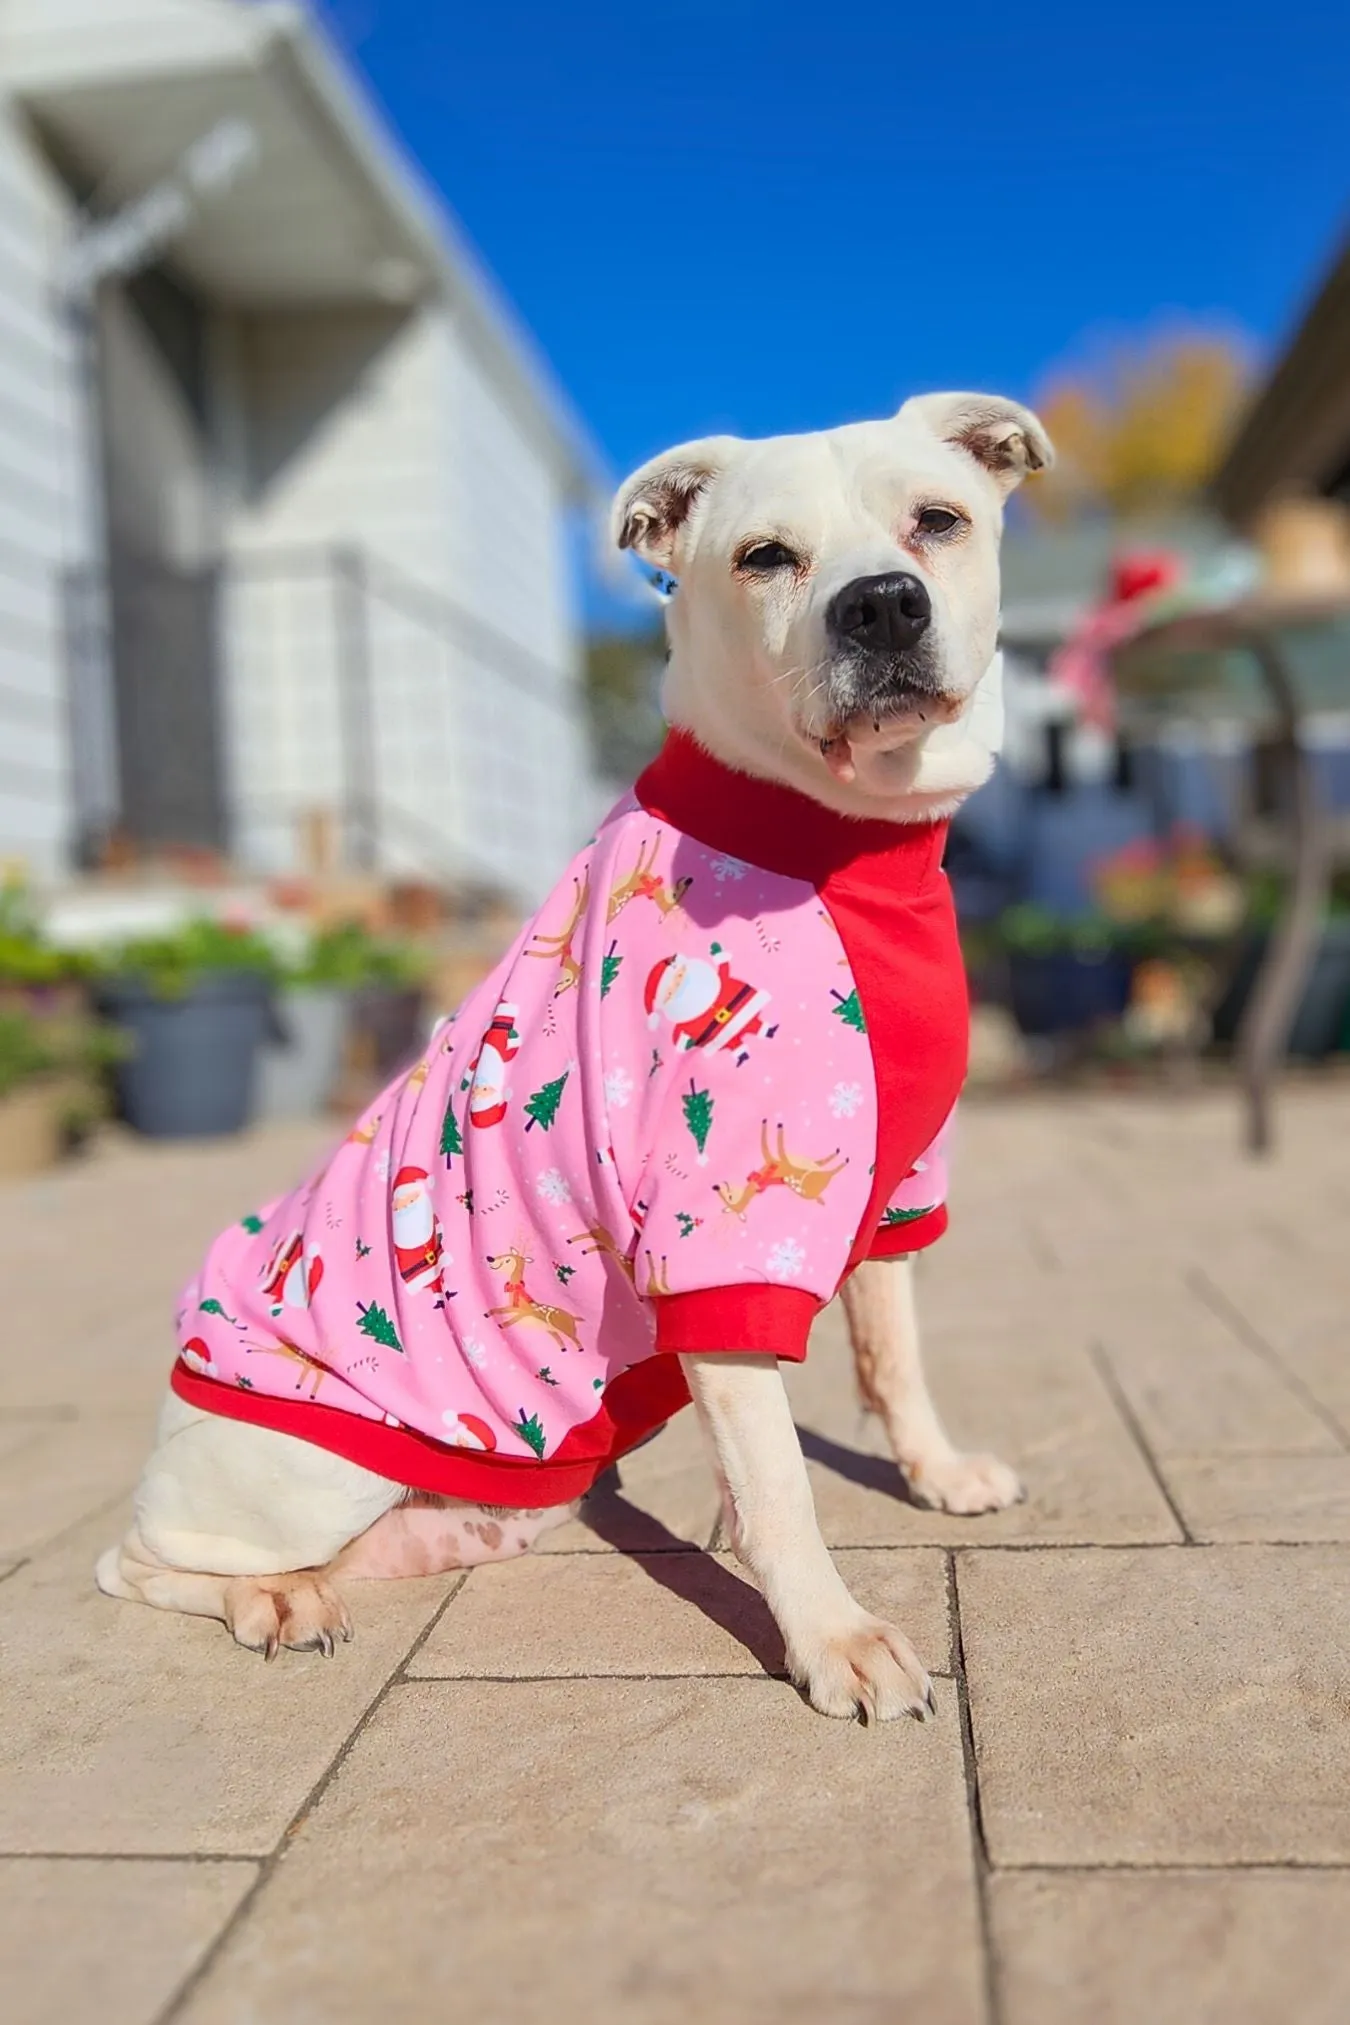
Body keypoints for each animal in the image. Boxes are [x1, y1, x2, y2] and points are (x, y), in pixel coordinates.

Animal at [100, 390, 1052, 1725]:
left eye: (940, 521)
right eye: (765, 557)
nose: (881, 604)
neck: (835, 841)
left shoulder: (897, 1187)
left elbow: (892, 1353)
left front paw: (936, 1471)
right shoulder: (716, 1243)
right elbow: (780, 1489)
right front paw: (836, 1639)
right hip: (299, 1466)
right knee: (140, 1562)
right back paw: (270, 1602)